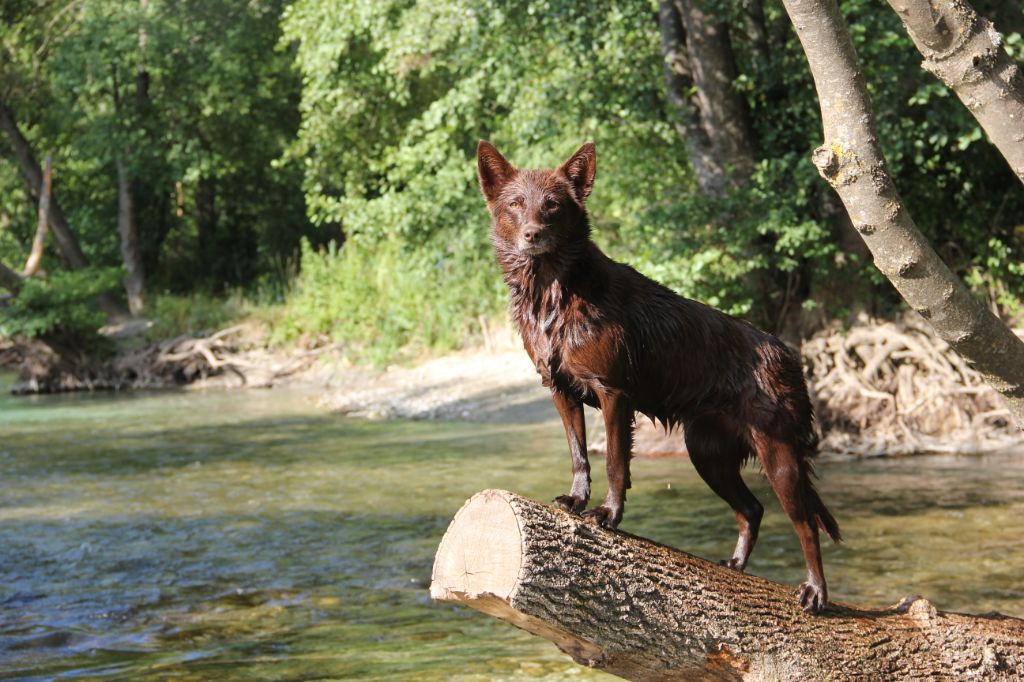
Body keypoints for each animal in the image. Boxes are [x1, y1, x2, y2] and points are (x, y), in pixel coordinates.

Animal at [475, 139, 843, 610]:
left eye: (553, 205)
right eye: (516, 204)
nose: (532, 235)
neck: (552, 293)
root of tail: (788, 355)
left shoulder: (614, 394)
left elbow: (615, 460)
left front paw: (608, 515)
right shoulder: (560, 390)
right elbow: (578, 452)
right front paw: (575, 499)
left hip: (778, 457)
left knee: (805, 524)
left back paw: (815, 592)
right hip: (707, 455)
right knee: (752, 509)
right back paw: (735, 565)